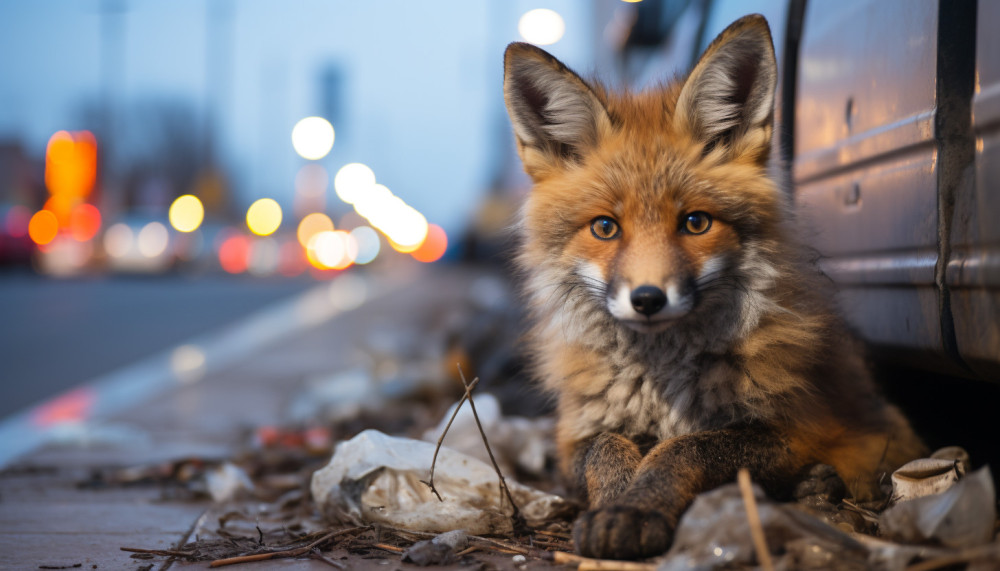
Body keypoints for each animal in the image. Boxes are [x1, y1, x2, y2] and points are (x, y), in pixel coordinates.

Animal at [502, 14, 926, 560]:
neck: (661, 384)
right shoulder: (576, 434)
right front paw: (615, 504)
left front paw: (637, 507)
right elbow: (608, 450)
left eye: (696, 223)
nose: (647, 299)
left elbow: (686, 448)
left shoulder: (795, 428)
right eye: (605, 228)